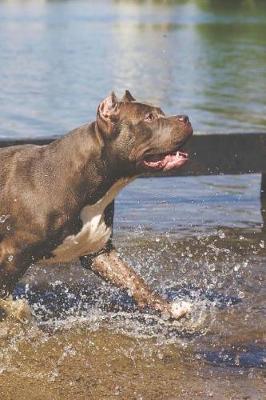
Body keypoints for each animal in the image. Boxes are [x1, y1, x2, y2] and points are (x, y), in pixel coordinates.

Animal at [0, 91, 192, 322]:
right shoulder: (12, 254)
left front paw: (170, 308)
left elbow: (135, 282)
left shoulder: (99, 252)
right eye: (149, 117)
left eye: (161, 112)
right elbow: (6, 299)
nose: (185, 118)